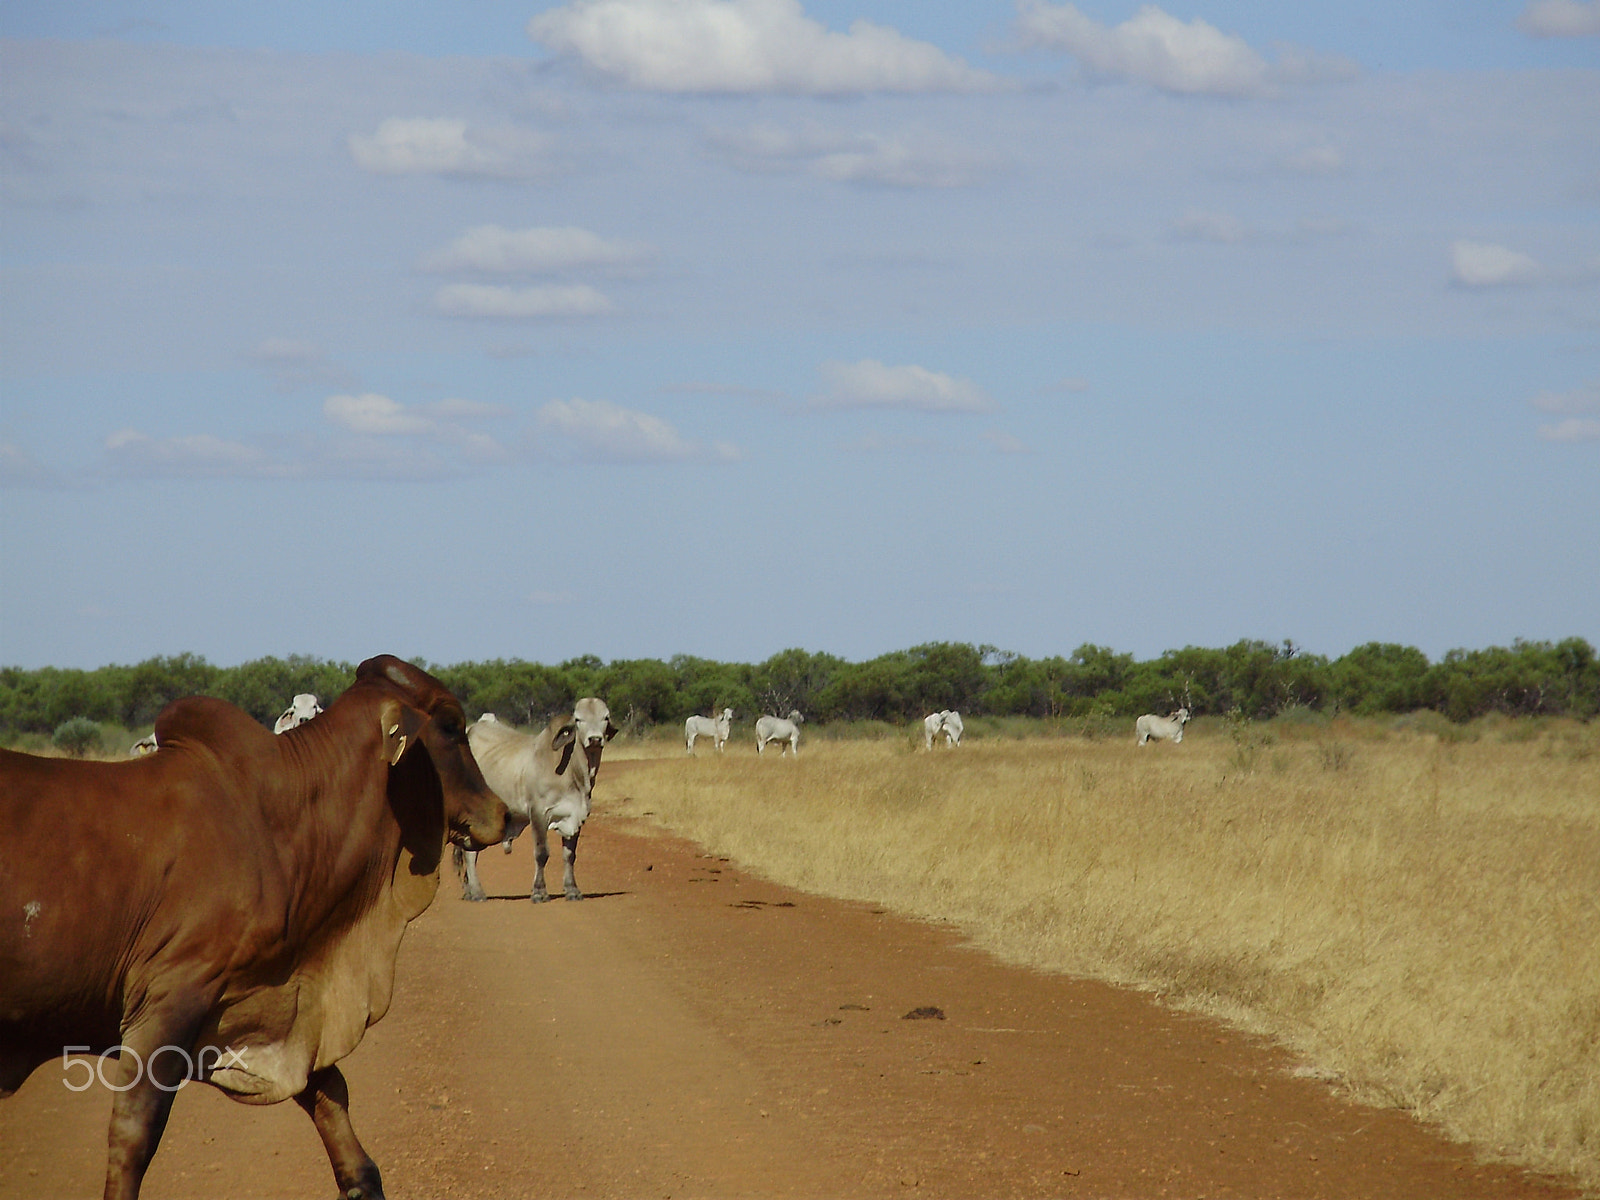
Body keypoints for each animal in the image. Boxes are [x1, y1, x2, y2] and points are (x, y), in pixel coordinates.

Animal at [0, 655, 509, 1200]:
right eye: (452, 726)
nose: (503, 813)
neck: (281, 823)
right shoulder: (171, 998)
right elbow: (134, 1134)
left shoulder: (278, 1008)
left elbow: (330, 1098)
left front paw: (360, 1181)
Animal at [457, 698, 617, 903]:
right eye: (578, 719)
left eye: (605, 717)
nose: (595, 739)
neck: (575, 773)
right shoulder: (539, 813)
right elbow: (542, 853)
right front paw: (539, 892)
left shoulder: (575, 816)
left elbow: (569, 855)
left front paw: (572, 890)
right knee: (470, 853)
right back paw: (477, 893)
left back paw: (470, 891)